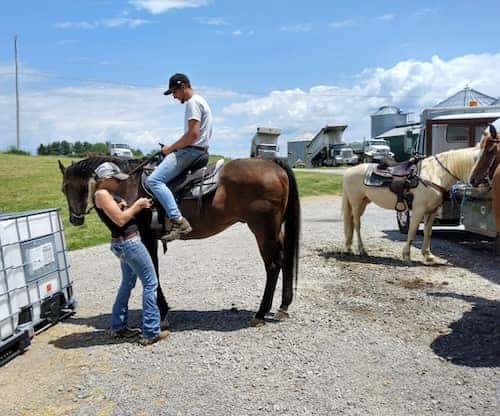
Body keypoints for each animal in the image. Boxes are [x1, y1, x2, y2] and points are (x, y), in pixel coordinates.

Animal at [58, 154, 300, 326]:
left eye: (67, 186)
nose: (75, 219)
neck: (126, 186)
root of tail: (272, 164)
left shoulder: (146, 237)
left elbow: (152, 271)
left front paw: (162, 312)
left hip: (263, 229)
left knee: (273, 265)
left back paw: (260, 313)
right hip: (274, 230)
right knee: (286, 260)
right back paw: (283, 306)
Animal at [344, 147, 480, 264]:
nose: (477, 182)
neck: (435, 174)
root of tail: (348, 172)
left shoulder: (431, 211)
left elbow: (428, 232)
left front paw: (428, 255)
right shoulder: (419, 209)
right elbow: (413, 230)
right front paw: (407, 255)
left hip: (363, 202)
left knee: (351, 222)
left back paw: (349, 247)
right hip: (356, 203)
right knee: (357, 224)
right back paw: (362, 250)